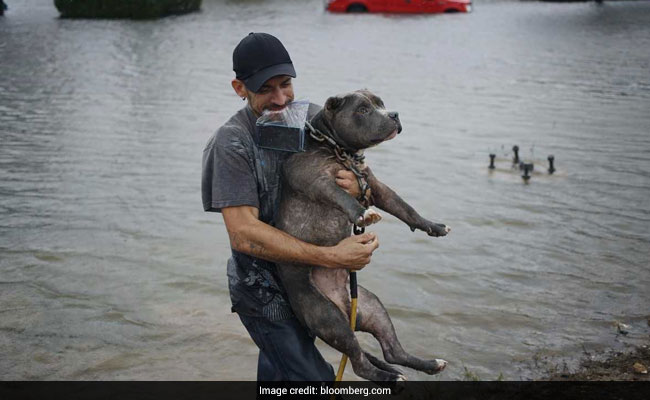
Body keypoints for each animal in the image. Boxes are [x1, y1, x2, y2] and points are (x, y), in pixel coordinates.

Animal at [272, 89, 446, 382]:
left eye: (382, 104)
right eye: (363, 110)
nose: (394, 114)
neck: (339, 151)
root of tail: (344, 305)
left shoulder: (374, 185)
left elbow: (404, 207)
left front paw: (432, 226)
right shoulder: (320, 182)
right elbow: (343, 197)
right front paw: (362, 214)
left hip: (373, 308)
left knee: (391, 352)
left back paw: (429, 364)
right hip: (327, 317)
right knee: (359, 363)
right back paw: (391, 377)